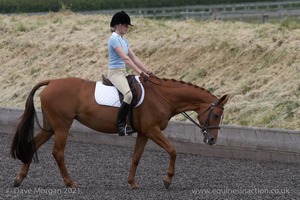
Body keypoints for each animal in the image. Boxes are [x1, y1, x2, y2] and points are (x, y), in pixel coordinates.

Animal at [9, 74, 230, 189]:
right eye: (216, 115)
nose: (212, 140)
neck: (162, 97)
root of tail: (52, 82)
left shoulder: (144, 132)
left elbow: (136, 157)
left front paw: (132, 182)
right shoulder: (152, 130)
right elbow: (173, 150)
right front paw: (167, 180)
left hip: (51, 127)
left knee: (32, 145)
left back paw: (19, 179)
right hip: (62, 127)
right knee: (58, 153)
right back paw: (71, 183)